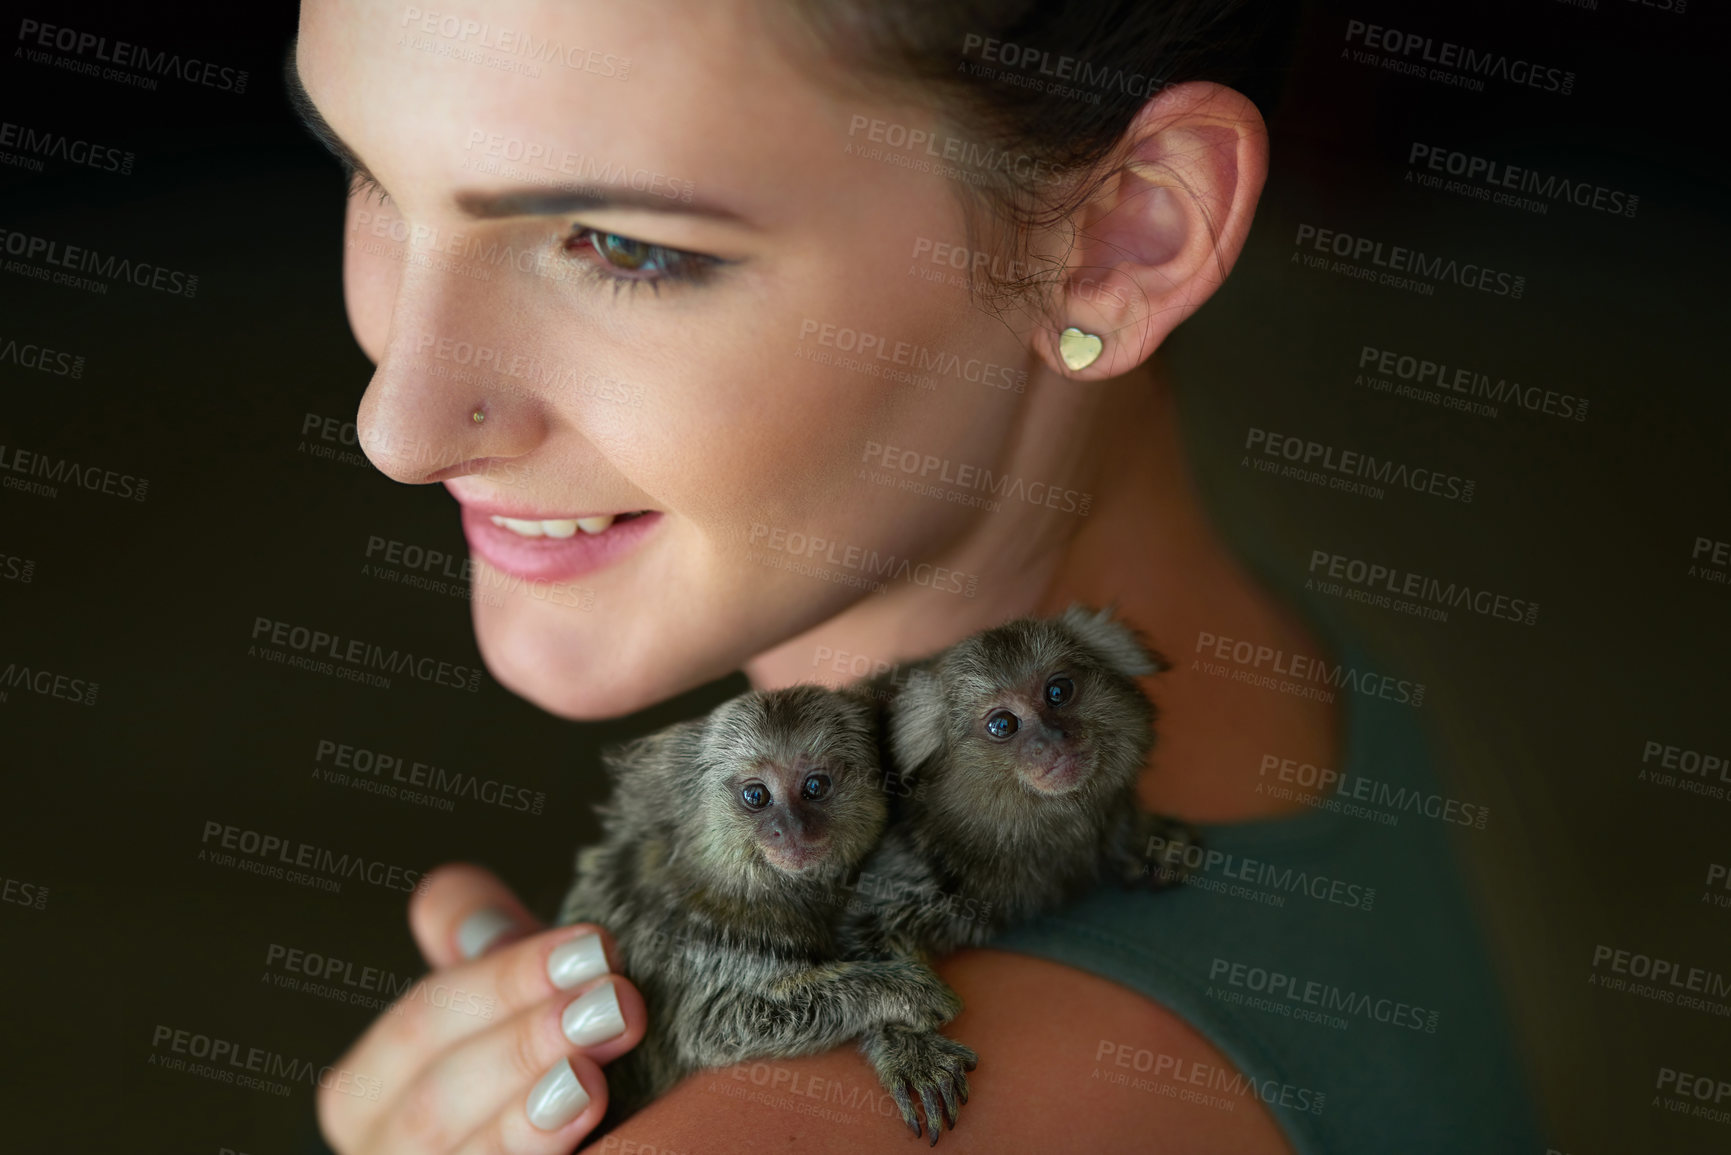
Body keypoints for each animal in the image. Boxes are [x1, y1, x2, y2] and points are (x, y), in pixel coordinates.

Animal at [557, 684, 977, 1138]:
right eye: (756, 796)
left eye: (815, 786)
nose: (792, 828)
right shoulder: (695, 941)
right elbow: (718, 1023)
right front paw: (903, 994)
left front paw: (911, 1048)